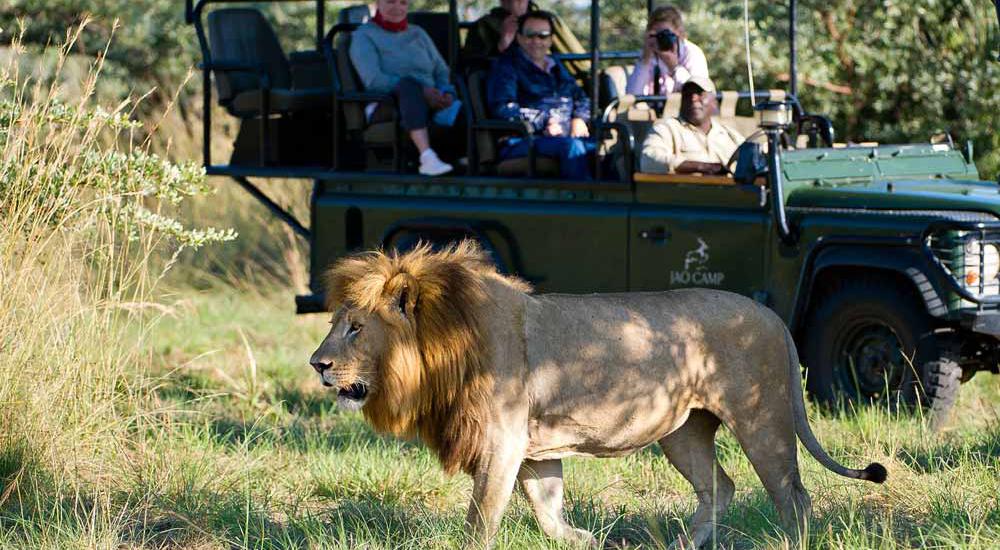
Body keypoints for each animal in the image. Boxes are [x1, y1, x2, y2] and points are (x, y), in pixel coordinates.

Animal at [308, 244, 888, 548]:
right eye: (335, 323)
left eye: (356, 328)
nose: (317, 364)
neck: (440, 352)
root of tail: (773, 316)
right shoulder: (533, 451)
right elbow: (546, 510)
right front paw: (587, 541)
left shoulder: (501, 442)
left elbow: (481, 518)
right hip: (684, 431)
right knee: (719, 487)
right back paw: (681, 546)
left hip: (761, 418)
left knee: (793, 495)